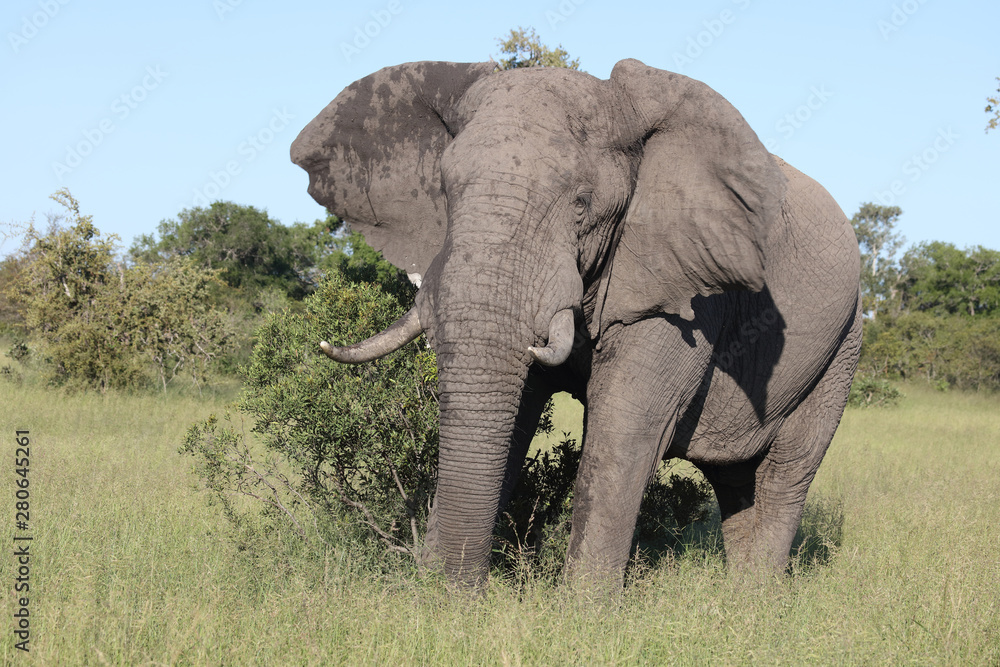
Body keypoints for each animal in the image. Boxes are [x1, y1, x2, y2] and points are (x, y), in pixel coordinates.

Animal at [291, 59, 861, 590]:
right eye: (445, 193)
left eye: (582, 203)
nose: (450, 592)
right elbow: (516, 411)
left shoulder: (688, 292)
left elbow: (626, 421)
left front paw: (584, 612)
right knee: (737, 480)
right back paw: (739, 591)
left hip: (844, 343)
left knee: (788, 469)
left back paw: (758, 598)